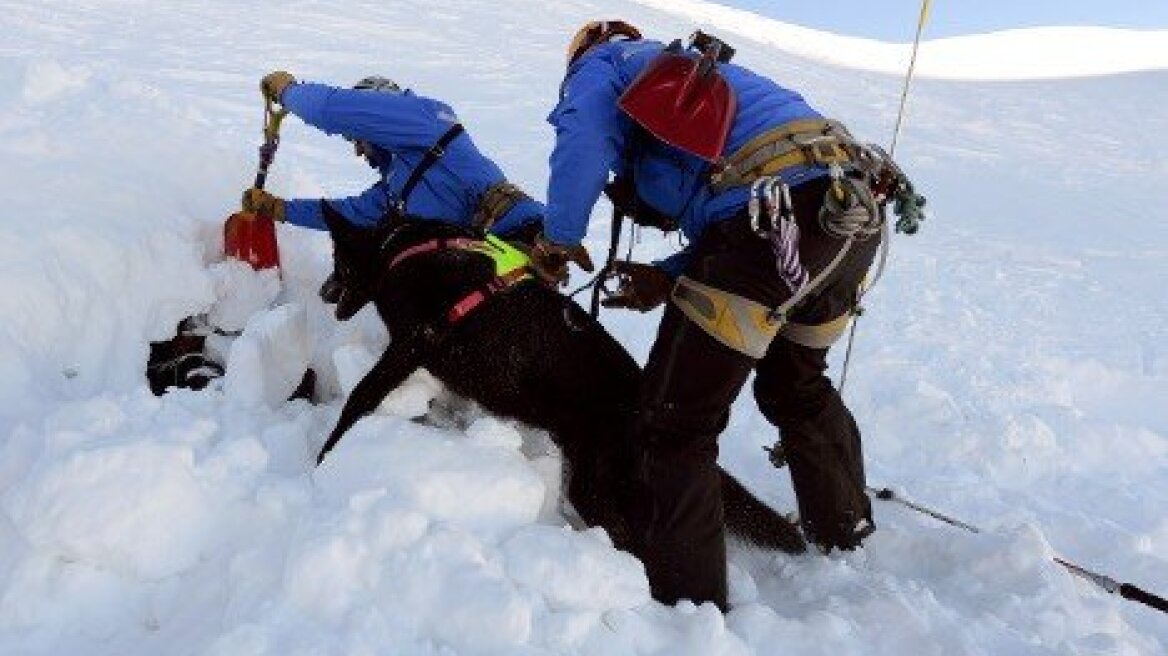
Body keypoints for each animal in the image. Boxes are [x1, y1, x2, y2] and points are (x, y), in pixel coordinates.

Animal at [313, 203, 803, 550]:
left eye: (338, 262)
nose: (324, 292)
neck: (396, 250)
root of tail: (643, 403)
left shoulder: (411, 344)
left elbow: (359, 398)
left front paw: (323, 460)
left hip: (594, 487)